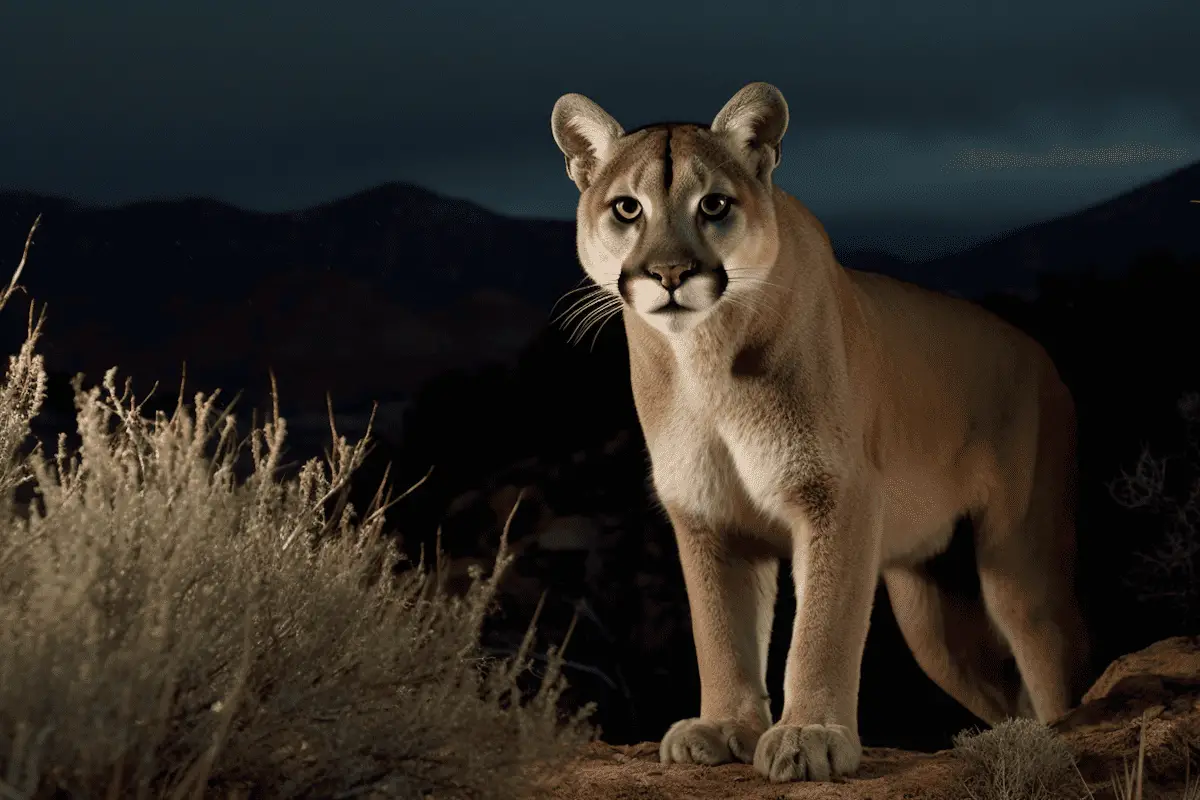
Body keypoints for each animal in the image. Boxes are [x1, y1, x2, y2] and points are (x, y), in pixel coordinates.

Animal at [549, 82, 1090, 783]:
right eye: (626, 208)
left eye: (714, 204)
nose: (669, 274)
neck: (704, 359)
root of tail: (1041, 354)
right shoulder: (706, 512)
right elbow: (719, 630)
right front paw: (723, 726)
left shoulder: (837, 493)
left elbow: (823, 626)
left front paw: (809, 734)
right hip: (934, 615)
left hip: (1021, 566)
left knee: (1056, 664)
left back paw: (1053, 743)